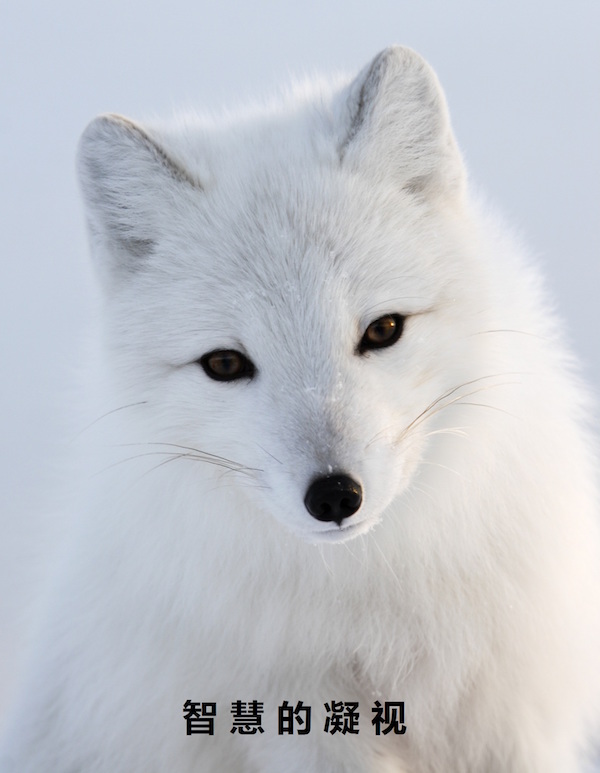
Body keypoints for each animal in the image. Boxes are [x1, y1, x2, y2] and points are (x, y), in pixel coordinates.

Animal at [1, 48, 600, 772]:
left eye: (383, 329)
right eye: (225, 364)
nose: (335, 495)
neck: (372, 602)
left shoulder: (513, 718)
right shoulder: (299, 727)